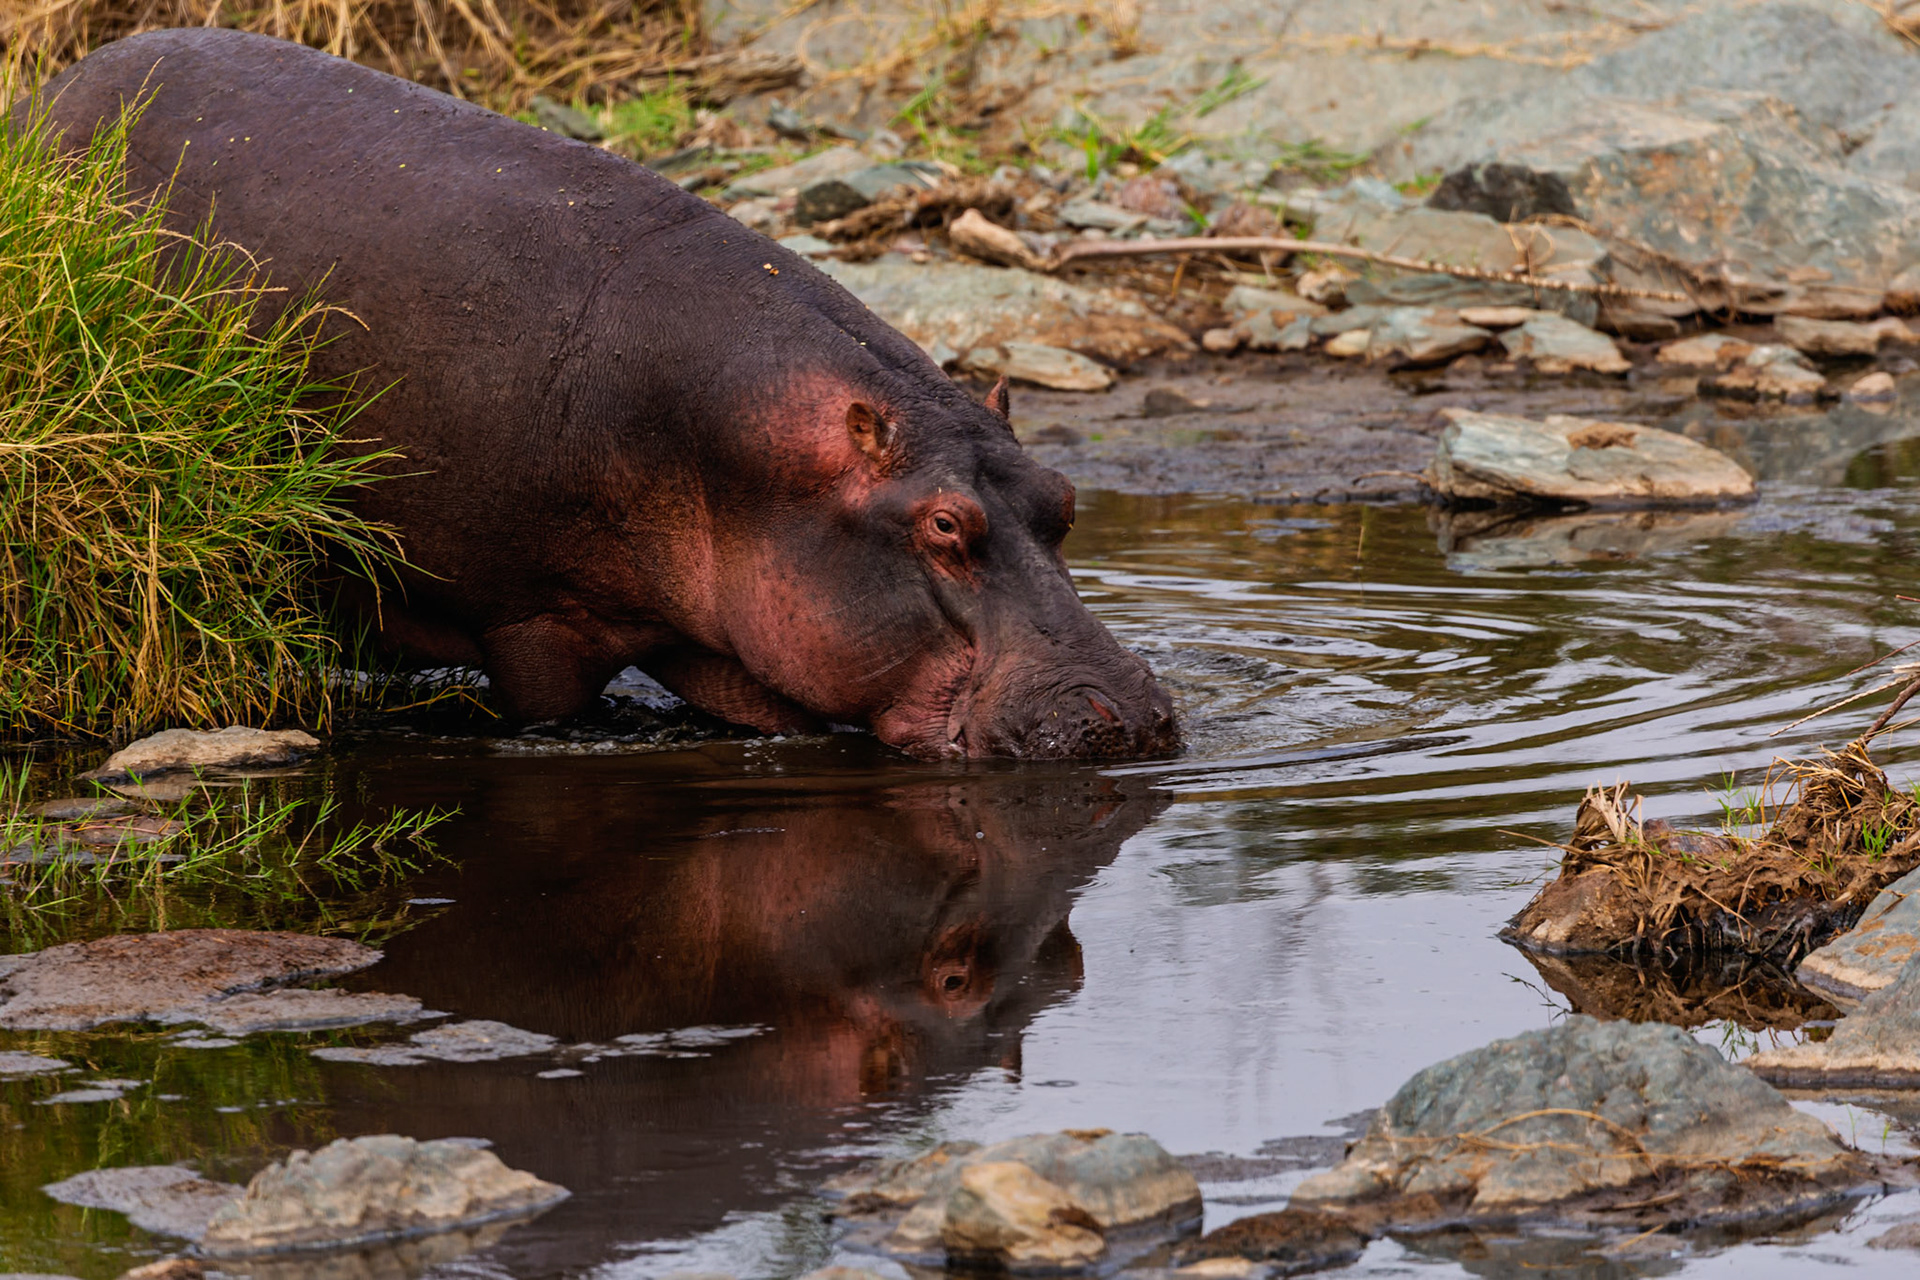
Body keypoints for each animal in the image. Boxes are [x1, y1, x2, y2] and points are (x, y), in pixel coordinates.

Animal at [32, 29, 1178, 758]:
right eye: (945, 525)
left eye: (1064, 499)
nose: (1128, 716)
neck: (754, 467)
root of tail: (53, 84)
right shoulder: (532, 618)